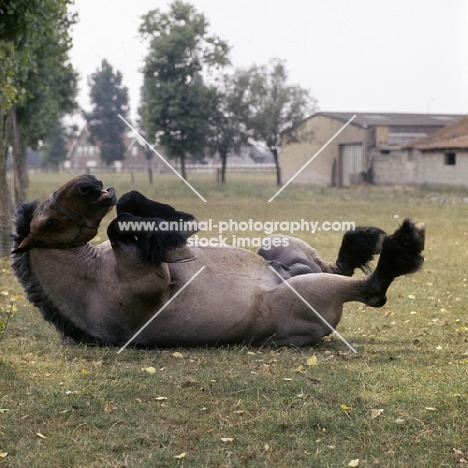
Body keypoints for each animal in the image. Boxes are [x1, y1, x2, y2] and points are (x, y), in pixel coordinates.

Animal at [11, 175, 426, 348]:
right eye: (48, 222)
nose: (89, 182)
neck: (93, 282)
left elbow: (125, 206)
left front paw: (172, 219)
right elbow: (117, 224)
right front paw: (174, 235)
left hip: (278, 248)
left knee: (335, 267)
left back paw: (364, 240)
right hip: (303, 294)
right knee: (370, 290)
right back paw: (402, 246)